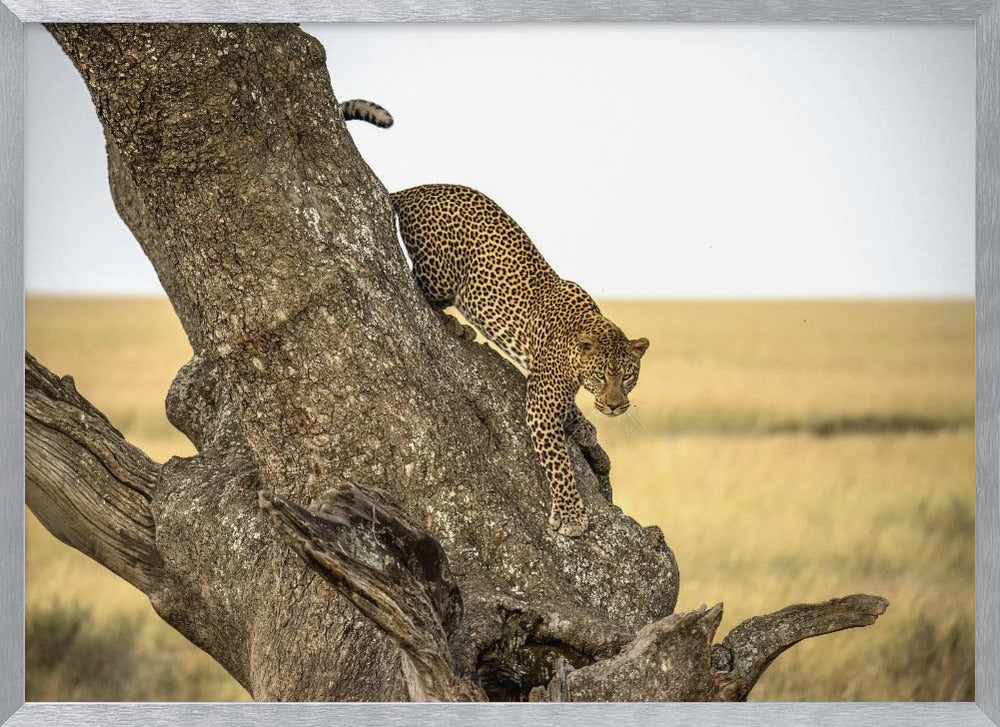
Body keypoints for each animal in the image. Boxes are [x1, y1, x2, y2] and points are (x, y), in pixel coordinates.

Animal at [390, 183, 648, 536]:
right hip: (441, 274)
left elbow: (571, 409)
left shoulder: (545, 384)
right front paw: (571, 516)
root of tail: (412, 190)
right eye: (601, 376)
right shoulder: (542, 399)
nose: (615, 406)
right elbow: (559, 464)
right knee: (420, 289)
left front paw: (584, 428)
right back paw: (457, 326)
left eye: (627, 377)